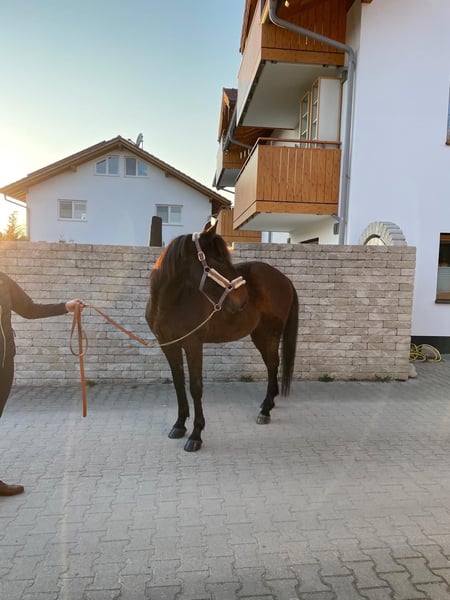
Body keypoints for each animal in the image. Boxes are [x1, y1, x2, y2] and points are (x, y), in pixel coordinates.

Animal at [145, 222, 298, 452]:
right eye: (217, 259)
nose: (243, 299)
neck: (172, 302)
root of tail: (285, 279)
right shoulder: (169, 345)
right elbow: (179, 383)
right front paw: (179, 425)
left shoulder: (193, 345)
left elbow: (195, 387)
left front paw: (196, 435)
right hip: (259, 334)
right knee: (272, 365)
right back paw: (267, 404)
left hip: (268, 334)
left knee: (273, 364)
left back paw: (265, 411)